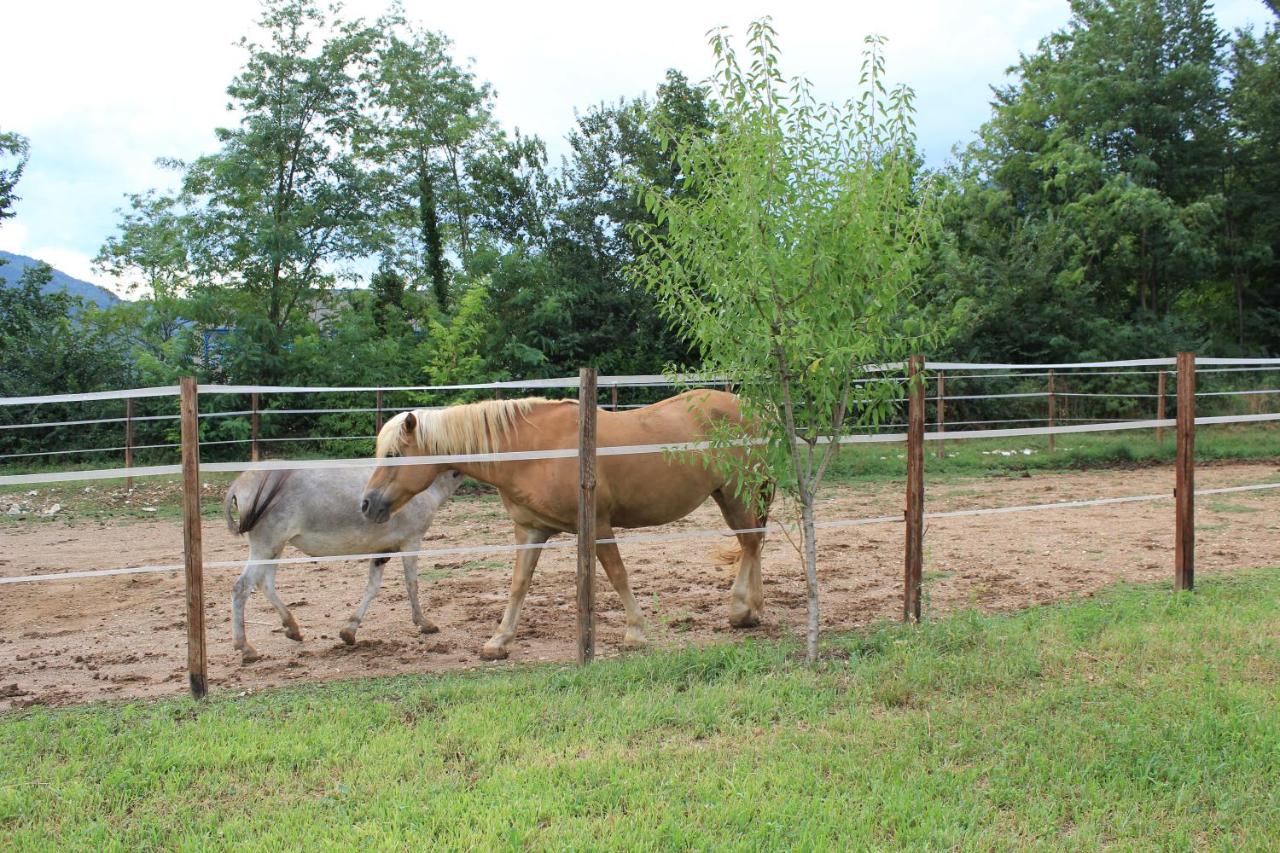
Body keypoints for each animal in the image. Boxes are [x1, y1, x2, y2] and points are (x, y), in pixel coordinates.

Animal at [366, 389, 773, 660]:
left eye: (394, 454)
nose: (367, 504)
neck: (533, 451)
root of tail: (751, 410)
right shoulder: (531, 530)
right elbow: (518, 585)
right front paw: (499, 640)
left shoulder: (598, 524)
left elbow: (618, 574)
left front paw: (635, 632)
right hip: (728, 496)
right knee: (752, 544)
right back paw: (752, 609)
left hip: (737, 493)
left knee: (751, 543)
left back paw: (741, 611)